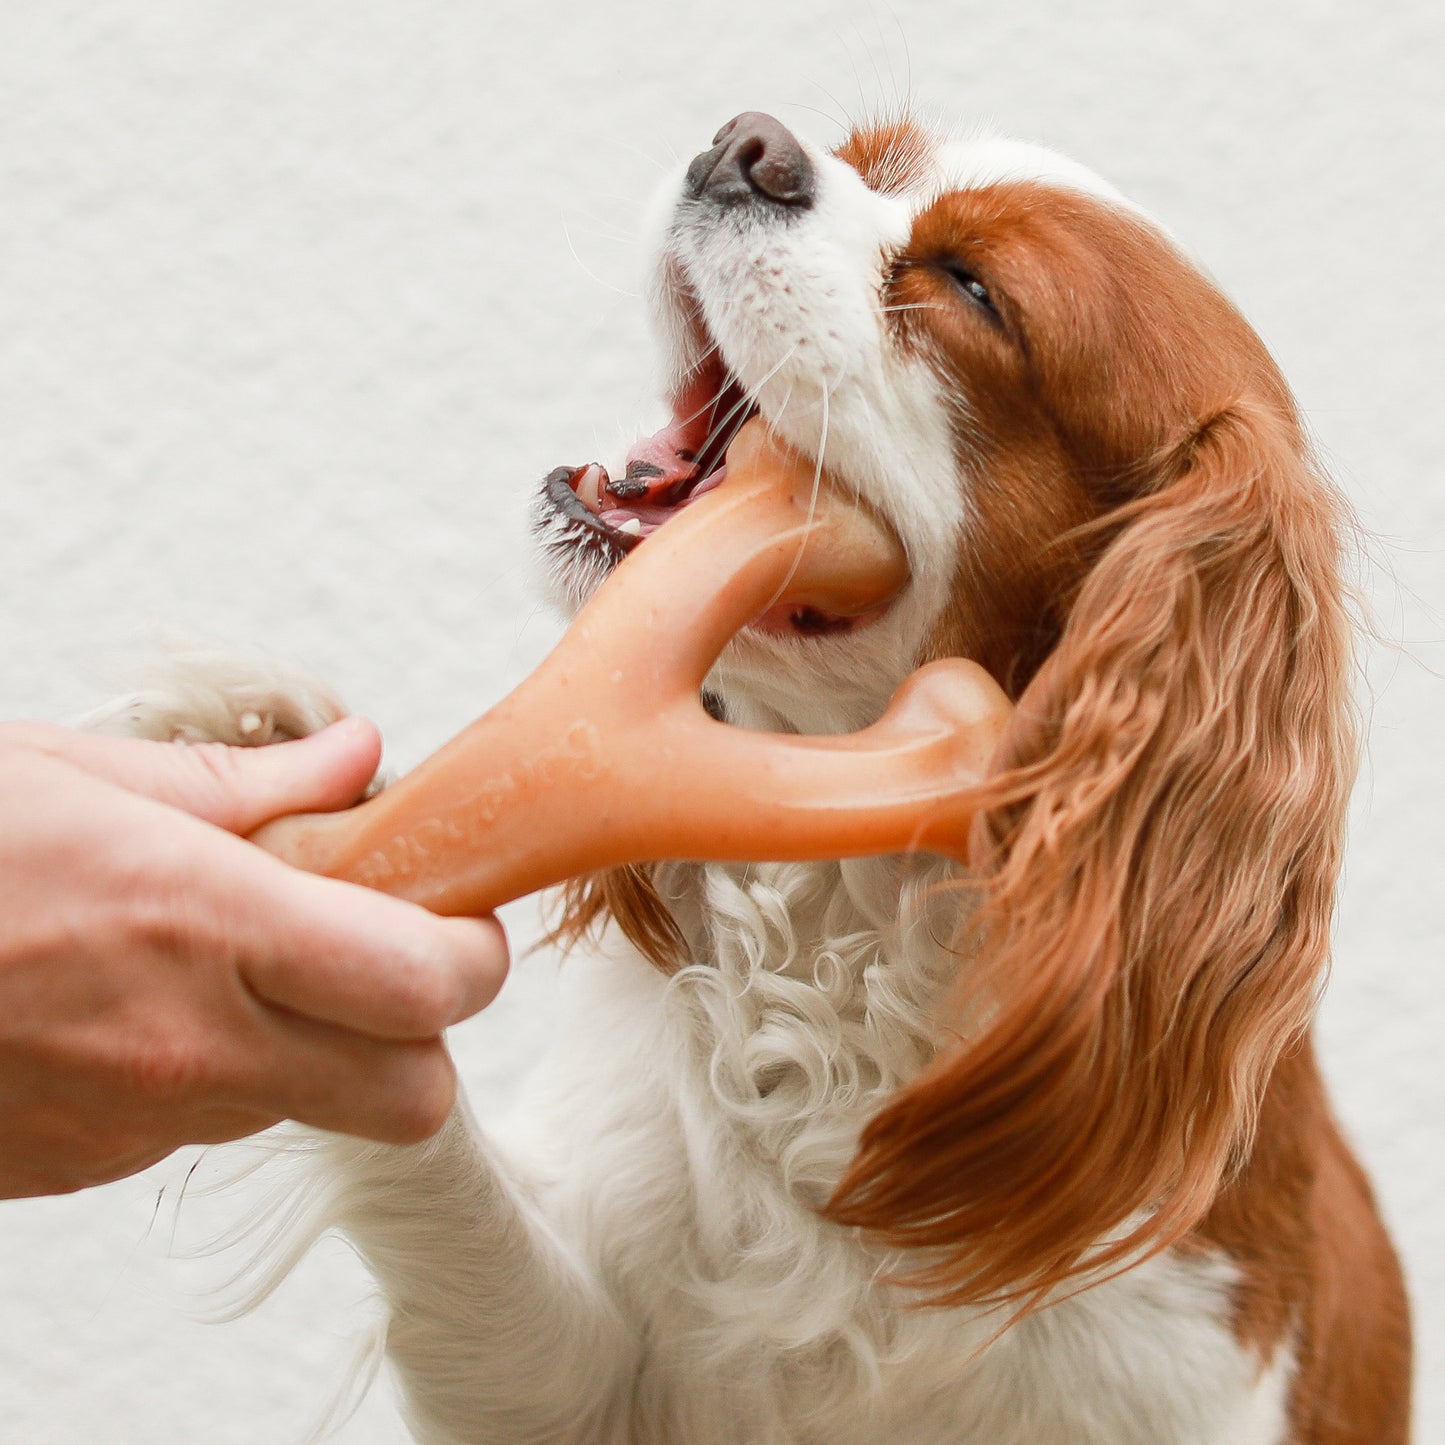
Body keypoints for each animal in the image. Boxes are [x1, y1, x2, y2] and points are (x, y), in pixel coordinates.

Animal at [121, 115, 1410, 1445]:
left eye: (972, 289)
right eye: (859, 155)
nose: (749, 145)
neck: (849, 922)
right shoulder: (565, 1374)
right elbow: (454, 1188)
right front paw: (267, 764)